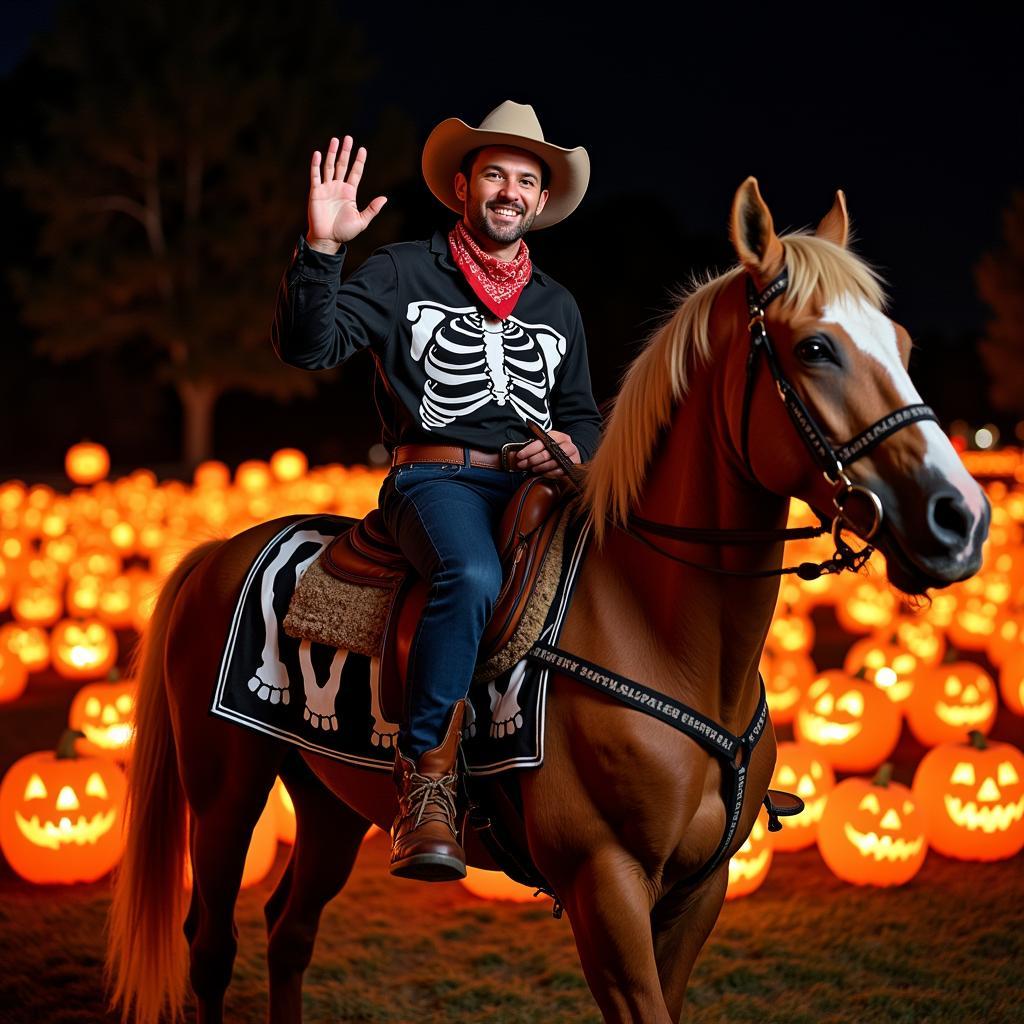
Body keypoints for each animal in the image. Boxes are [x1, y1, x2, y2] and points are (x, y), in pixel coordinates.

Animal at [108, 180, 987, 1019]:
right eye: (815, 347)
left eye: (903, 346)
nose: (961, 518)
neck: (657, 630)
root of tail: (221, 552)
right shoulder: (605, 884)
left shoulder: (698, 890)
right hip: (225, 795)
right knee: (210, 946)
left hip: (330, 802)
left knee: (288, 932)